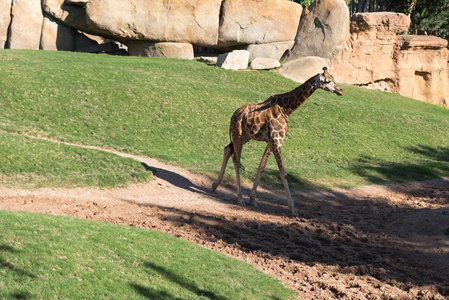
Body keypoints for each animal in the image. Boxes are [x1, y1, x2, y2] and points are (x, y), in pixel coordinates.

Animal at [211, 66, 344, 216]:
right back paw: (239, 199)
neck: (286, 109)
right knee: (236, 160)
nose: (341, 91)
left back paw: (215, 185)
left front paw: (253, 199)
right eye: (327, 81)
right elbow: (283, 173)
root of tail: (232, 116)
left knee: (227, 148)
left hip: (246, 136)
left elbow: (261, 166)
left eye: (334, 78)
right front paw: (293, 209)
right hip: (238, 134)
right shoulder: (276, 140)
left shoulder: (272, 141)